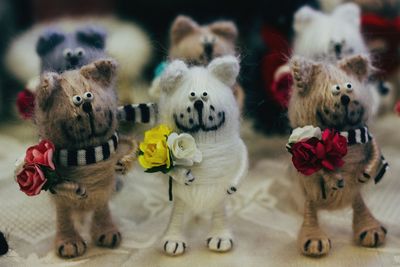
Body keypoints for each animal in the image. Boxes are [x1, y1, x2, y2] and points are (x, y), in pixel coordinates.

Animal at [159, 55, 247, 256]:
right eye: (191, 95)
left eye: (205, 95)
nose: (198, 102)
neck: (204, 146)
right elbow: (172, 172)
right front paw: (185, 176)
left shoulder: (237, 147)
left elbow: (242, 161)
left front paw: (233, 185)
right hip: (181, 201)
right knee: (178, 214)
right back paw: (174, 239)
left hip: (217, 198)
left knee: (218, 212)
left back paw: (220, 236)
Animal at [288, 54, 388, 258]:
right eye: (335, 89)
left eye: (349, 86)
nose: (345, 98)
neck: (345, 134)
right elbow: (322, 169)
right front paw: (334, 178)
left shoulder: (367, 136)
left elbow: (374, 153)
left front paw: (368, 171)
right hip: (311, 196)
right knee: (310, 210)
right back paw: (314, 237)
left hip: (354, 194)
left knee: (358, 204)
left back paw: (370, 228)